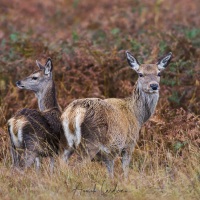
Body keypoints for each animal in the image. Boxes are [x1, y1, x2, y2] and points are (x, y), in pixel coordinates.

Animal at [60, 50, 172, 179]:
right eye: (140, 74)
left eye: (159, 73)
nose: (154, 86)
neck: (137, 115)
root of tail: (73, 111)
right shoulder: (129, 143)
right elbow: (125, 169)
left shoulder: (109, 153)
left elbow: (110, 172)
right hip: (90, 142)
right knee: (76, 166)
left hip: (66, 142)